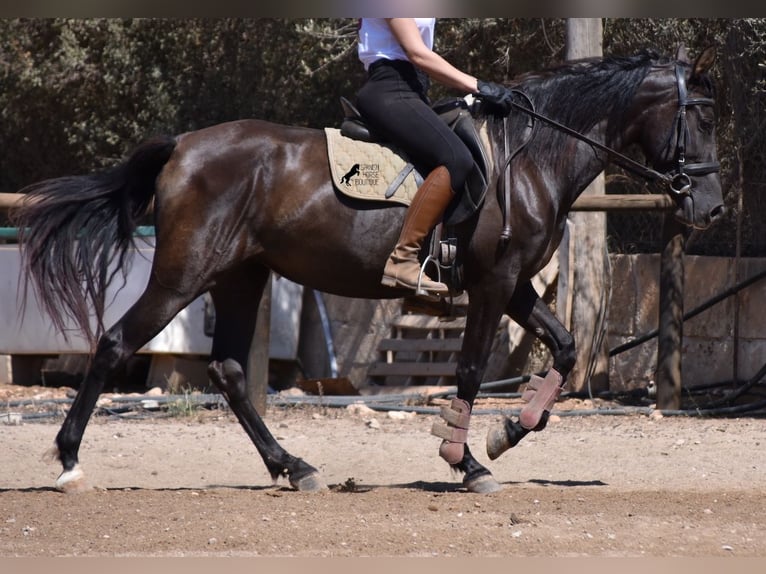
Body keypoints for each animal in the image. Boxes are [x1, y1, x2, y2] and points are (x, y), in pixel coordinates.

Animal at [15, 46, 728, 496]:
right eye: (700, 118)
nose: (713, 208)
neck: (532, 157)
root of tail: (182, 146)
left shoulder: (516, 284)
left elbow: (566, 344)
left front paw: (506, 432)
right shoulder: (493, 284)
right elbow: (472, 369)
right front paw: (466, 461)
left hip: (242, 275)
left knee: (229, 370)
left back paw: (294, 467)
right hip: (183, 276)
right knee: (114, 344)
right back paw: (70, 464)